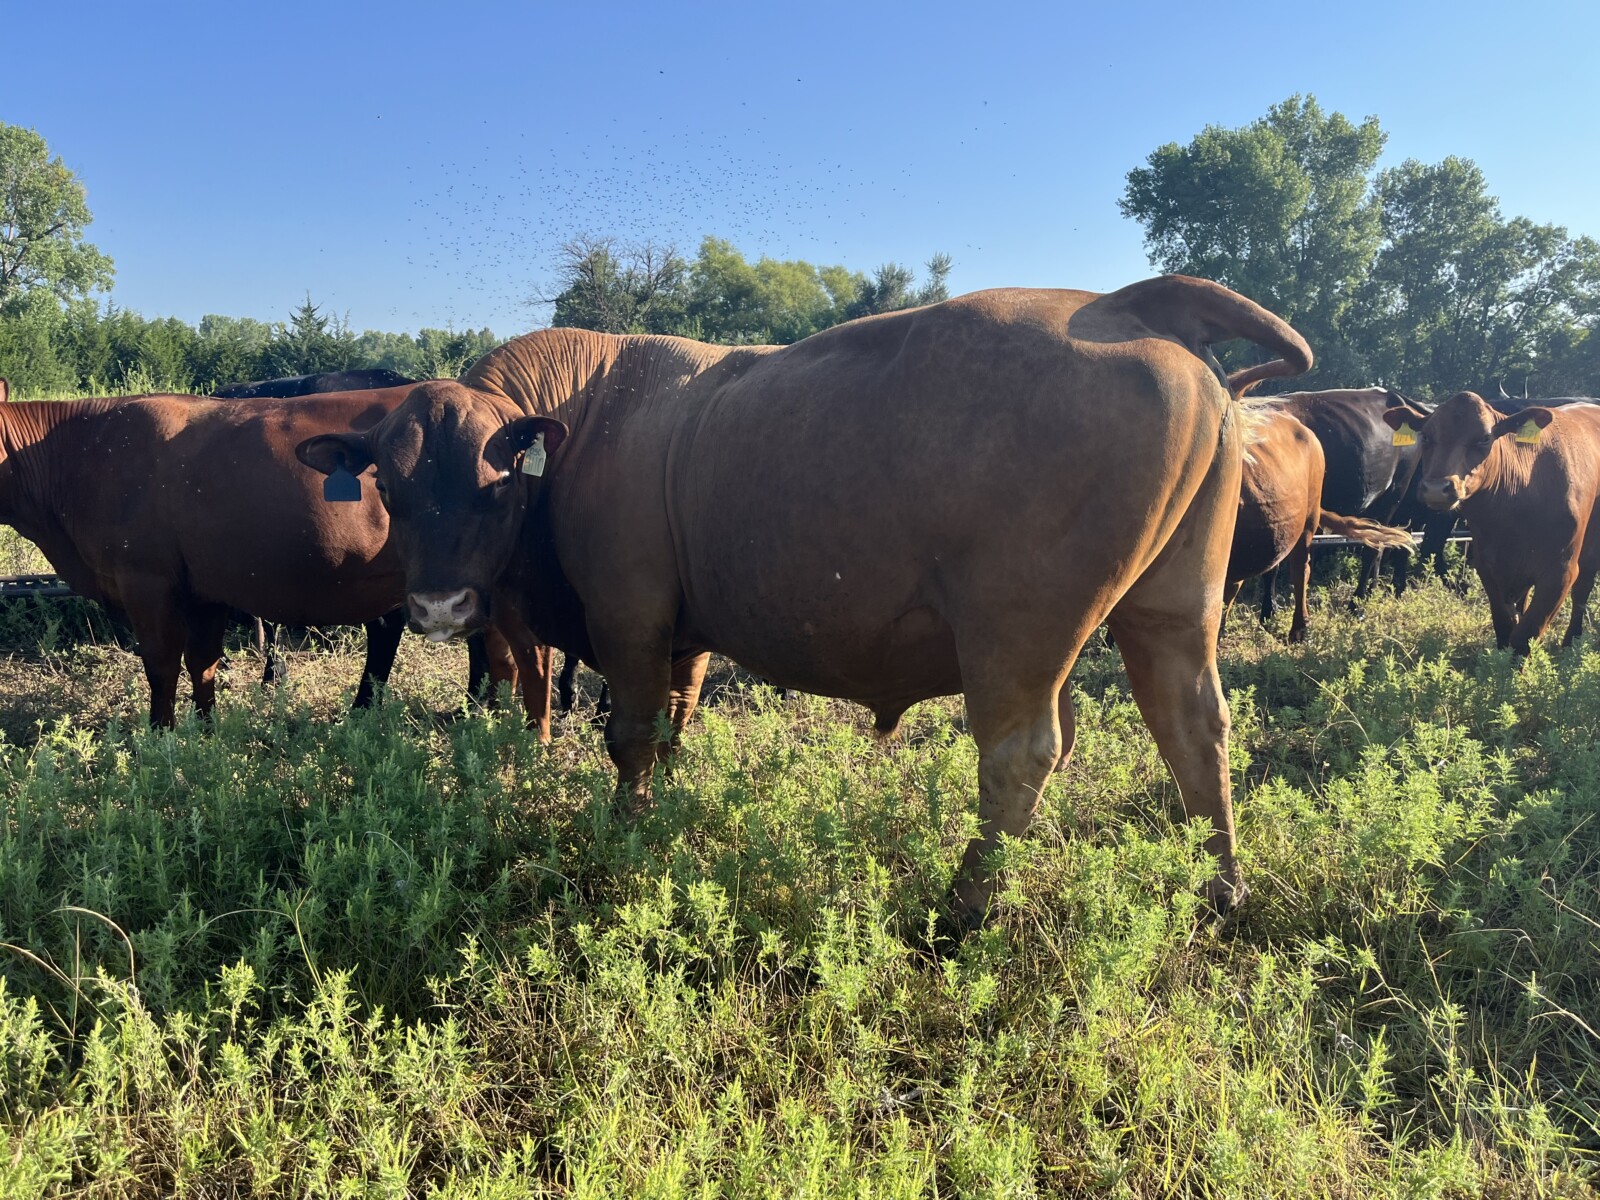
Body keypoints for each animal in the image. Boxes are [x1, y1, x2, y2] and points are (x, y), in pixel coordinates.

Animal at [0, 389, 555, 728]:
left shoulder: (146, 582)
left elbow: (160, 664)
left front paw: (161, 739)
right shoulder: (206, 585)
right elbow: (203, 662)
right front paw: (206, 732)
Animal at [297, 275, 1312, 935]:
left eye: (493, 484)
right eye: (389, 480)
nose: (437, 606)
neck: (590, 418)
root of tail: (1123, 303)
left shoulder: (630, 621)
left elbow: (629, 737)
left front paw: (623, 839)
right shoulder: (684, 639)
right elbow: (673, 729)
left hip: (1016, 635)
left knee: (1022, 756)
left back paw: (962, 909)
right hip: (1172, 611)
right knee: (1194, 728)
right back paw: (1219, 891)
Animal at [1381, 391, 1600, 653]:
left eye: (1485, 438)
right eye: (1425, 436)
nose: (1436, 489)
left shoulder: (1561, 571)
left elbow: (1525, 634)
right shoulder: (1488, 565)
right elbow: (1505, 625)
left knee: (1582, 591)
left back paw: (1571, 642)